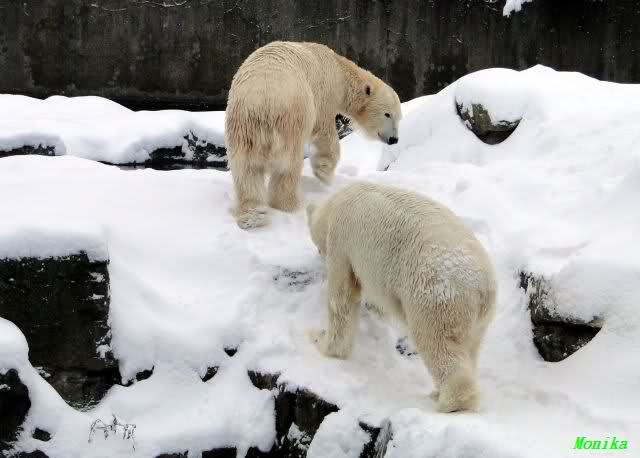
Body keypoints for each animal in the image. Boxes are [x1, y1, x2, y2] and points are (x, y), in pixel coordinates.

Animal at [225, 41, 402, 229]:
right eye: (388, 114)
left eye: (398, 117)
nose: (394, 139)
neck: (339, 70)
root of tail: (261, 103)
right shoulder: (324, 95)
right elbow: (324, 133)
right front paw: (324, 173)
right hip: (291, 121)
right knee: (288, 167)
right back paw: (290, 205)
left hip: (242, 129)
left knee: (246, 170)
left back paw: (253, 215)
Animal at [306, 182, 497, 413]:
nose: (318, 253)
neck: (336, 202)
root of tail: (483, 286)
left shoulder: (342, 241)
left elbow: (342, 297)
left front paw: (321, 340)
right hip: (479, 320)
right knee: (470, 348)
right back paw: (439, 392)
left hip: (436, 297)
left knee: (436, 342)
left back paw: (449, 402)